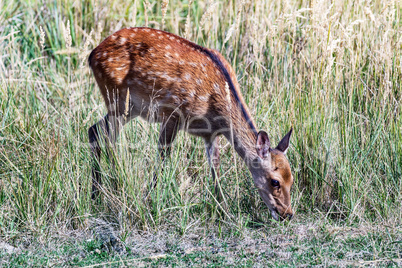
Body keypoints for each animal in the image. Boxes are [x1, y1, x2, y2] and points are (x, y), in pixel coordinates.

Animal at [88, 27, 294, 221]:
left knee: (95, 130)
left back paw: (97, 194)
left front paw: (225, 211)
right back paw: (116, 184)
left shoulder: (210, 134)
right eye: (275, 181)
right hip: (118, 98)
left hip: (129, 108)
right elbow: (163, 158)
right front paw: (149, 200)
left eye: (292, 178)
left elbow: (215, 168)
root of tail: (92, 55)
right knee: (108, 138)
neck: (217, 108)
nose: (288, 214)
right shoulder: (172, 113)